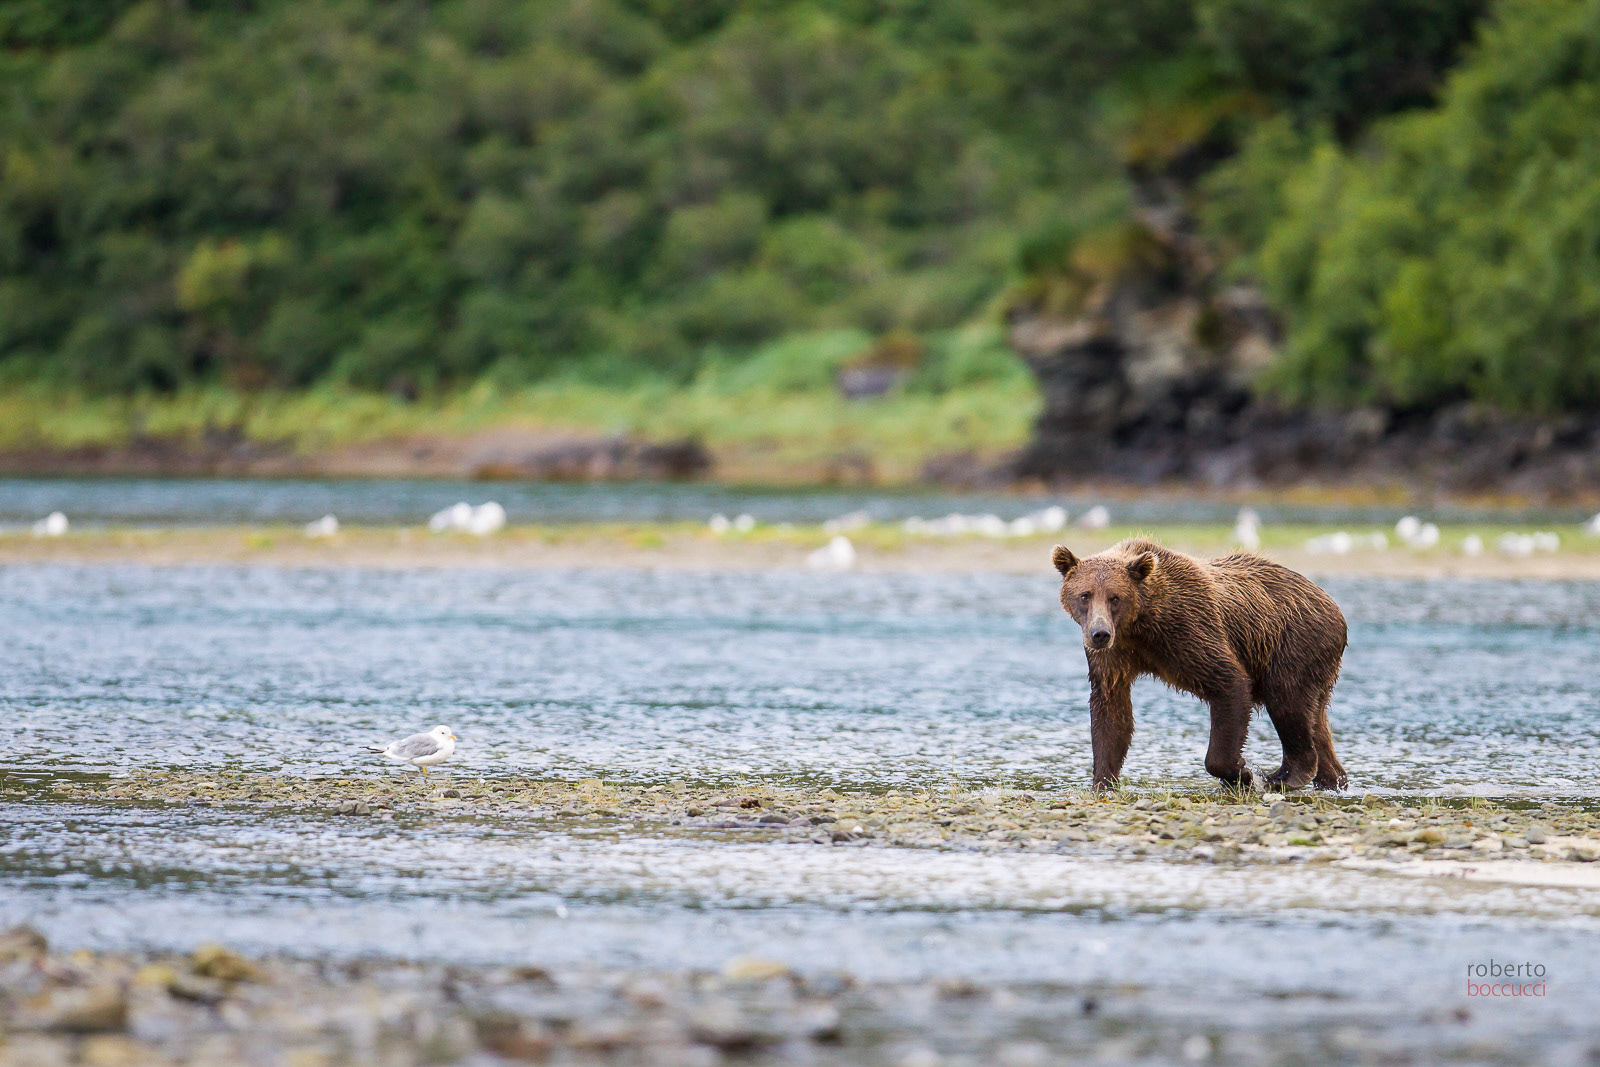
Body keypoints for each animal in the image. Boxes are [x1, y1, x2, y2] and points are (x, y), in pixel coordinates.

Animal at [1051, 537, 1348, 792]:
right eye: (1085, 595)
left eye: (1115, 597)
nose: (1100, 633)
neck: (1141, 623)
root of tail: (1330, 601)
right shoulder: (1116, 654)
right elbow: (1111, 710)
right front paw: (1102, 782)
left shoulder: (1189, 629)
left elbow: (1230, 683)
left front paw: (1242, 772)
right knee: (1316, 721)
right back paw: (1333, 780)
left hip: (1293, 643)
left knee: (1288, 702)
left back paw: (1283, 775)